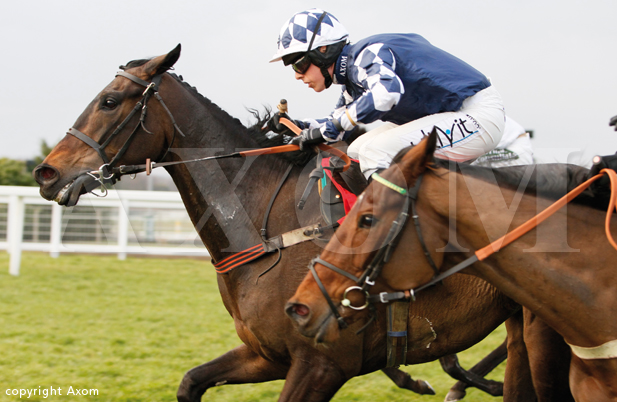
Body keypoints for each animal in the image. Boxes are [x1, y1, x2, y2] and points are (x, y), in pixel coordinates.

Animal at [35, 45, 520, 400]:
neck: (270, 229)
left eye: (109, 101)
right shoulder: (265, 353)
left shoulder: (321, 364)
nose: (47, 173)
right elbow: (191, 381)